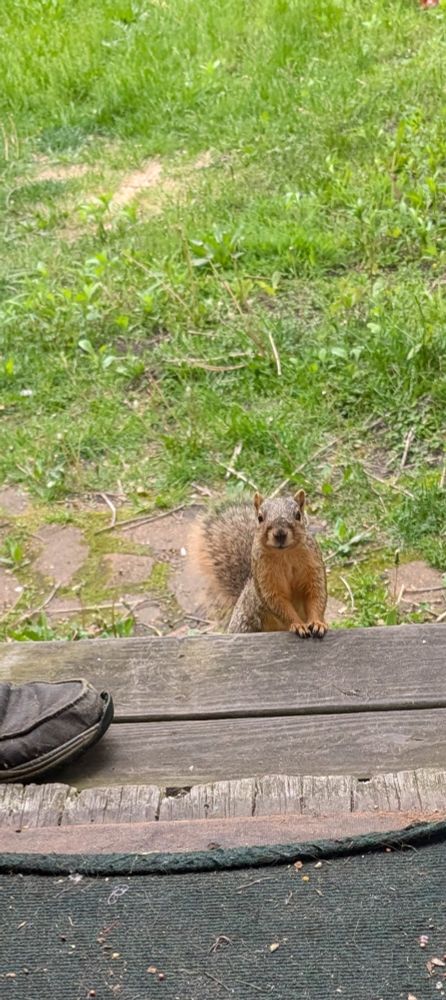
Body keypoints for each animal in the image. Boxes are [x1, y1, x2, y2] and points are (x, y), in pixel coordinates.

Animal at [191, 489, 328, 637]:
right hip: (245, 624)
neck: (285, 554)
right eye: (260, 518)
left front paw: (317, 623)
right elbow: (277, 602)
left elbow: (316, 595)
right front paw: (297, 624)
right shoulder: (265, 577)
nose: (280, 534)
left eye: (298, 515)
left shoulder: (313, 567)